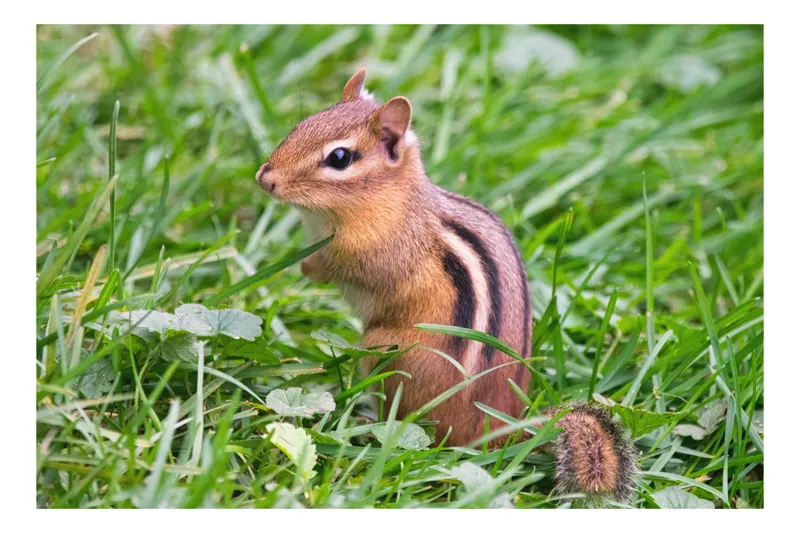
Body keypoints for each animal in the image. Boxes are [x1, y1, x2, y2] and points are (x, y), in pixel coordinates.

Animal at [256, 67, 638, 502]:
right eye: (301, 125)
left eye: (339, 158)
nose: (265, 179)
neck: (391, 200)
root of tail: (494, 433)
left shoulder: (377, 255)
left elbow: (346, 268)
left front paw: (311, 267)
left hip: (383, 350)